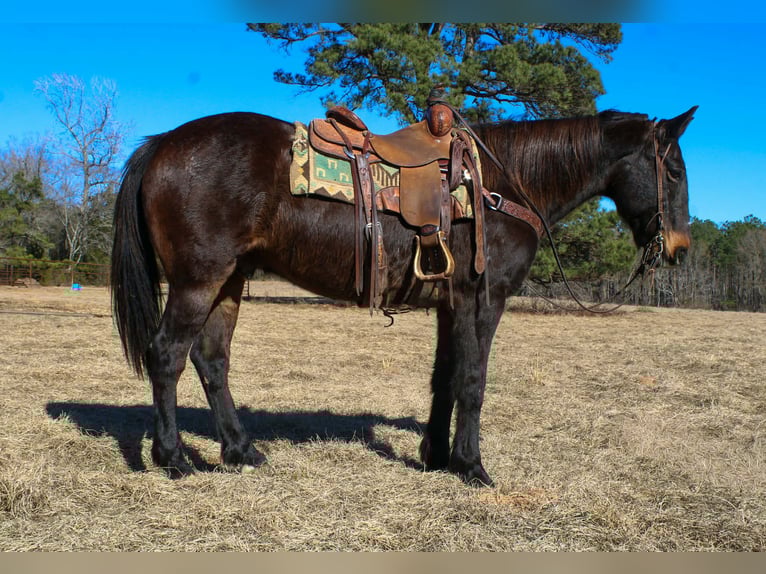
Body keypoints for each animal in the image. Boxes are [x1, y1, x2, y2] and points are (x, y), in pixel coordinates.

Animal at [110, 105, 697, 486]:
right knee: (166, 355)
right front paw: (472, 467)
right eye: (672, 170)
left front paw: (435, 454)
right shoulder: (482, 302)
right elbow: (472, 382)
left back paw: (240, 450)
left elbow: (444, 379)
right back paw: (173, 458)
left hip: (229, 282)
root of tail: (163, 141)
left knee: (212, 361)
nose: (679, 249)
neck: (503, 184)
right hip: (198, 280)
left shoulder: (449, 305)